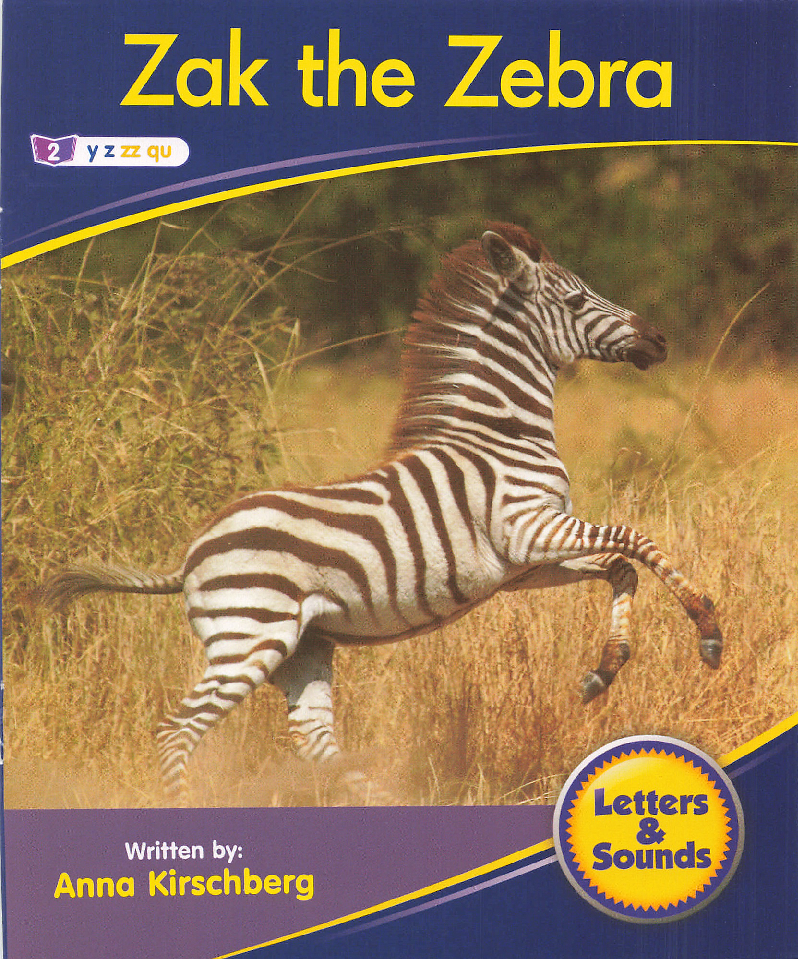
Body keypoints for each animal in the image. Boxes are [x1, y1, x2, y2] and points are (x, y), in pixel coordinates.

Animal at [40, 222, 723, 802]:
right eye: (579, 301)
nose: (660, 340)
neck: (499, 433)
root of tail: (190, 556)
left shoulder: (526, 563)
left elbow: (621, 565)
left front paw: (604, 672)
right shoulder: (526, 529)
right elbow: (637, 539)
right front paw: (708, 627)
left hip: (301, 647)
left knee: (315, 742)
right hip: (249, 636)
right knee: (177, 732)